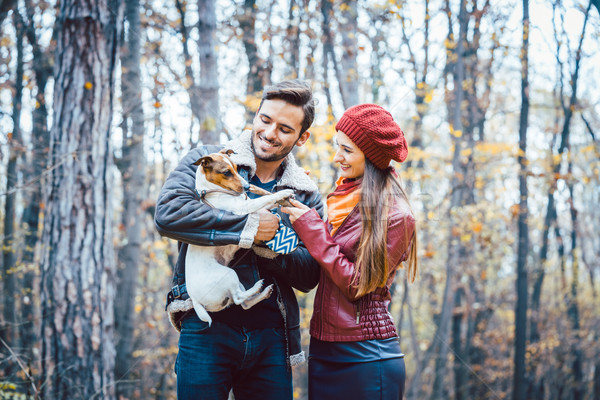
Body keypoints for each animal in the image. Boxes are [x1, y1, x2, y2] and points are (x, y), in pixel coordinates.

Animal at [185, 148, 292, 326]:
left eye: (236, 168)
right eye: (227, 172)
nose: (247, 186)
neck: (215, 191)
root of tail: (195, 300)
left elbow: (268, 202)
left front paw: (283, 200)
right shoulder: (245, 207)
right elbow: (266, 198)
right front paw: (283, 193)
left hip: (234, 282)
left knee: (244, 303)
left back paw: (263, 292)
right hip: (228, 275)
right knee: (238, 298)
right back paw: (257, 287)